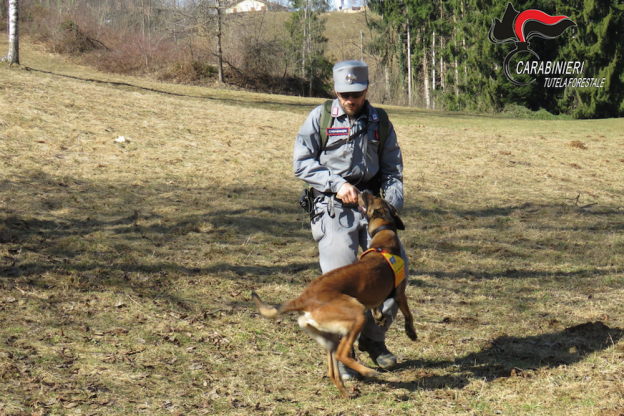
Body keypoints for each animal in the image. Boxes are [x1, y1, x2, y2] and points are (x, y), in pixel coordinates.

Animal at [251, 190, 416, 398]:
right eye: (370, 198)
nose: (363, 190)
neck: (384, 237)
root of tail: (304, 298)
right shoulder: (400, 293)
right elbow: (408, 315)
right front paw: (411, 333)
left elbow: (378, 307)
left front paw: (380, 318)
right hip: (357, 315)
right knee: (342, 354)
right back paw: (368, 372)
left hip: (329, 338)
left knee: (333, 371)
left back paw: (347, 393)